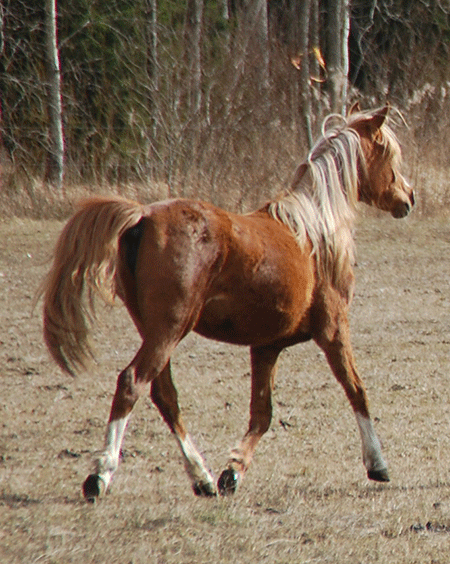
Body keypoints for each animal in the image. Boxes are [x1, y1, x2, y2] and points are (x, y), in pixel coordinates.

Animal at [42, 107, 414, 502]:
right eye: (389, 154)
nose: (409, 197)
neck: (313, 232)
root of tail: (143, 216)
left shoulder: (266, 346)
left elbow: (262, 414)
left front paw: (232, 472)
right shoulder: (332, 330)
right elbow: (356, 390)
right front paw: (377, 463)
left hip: (155, 331)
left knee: (165, 395)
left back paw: (202, 477)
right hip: (169, 330)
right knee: (131, 383)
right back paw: (100, 474)